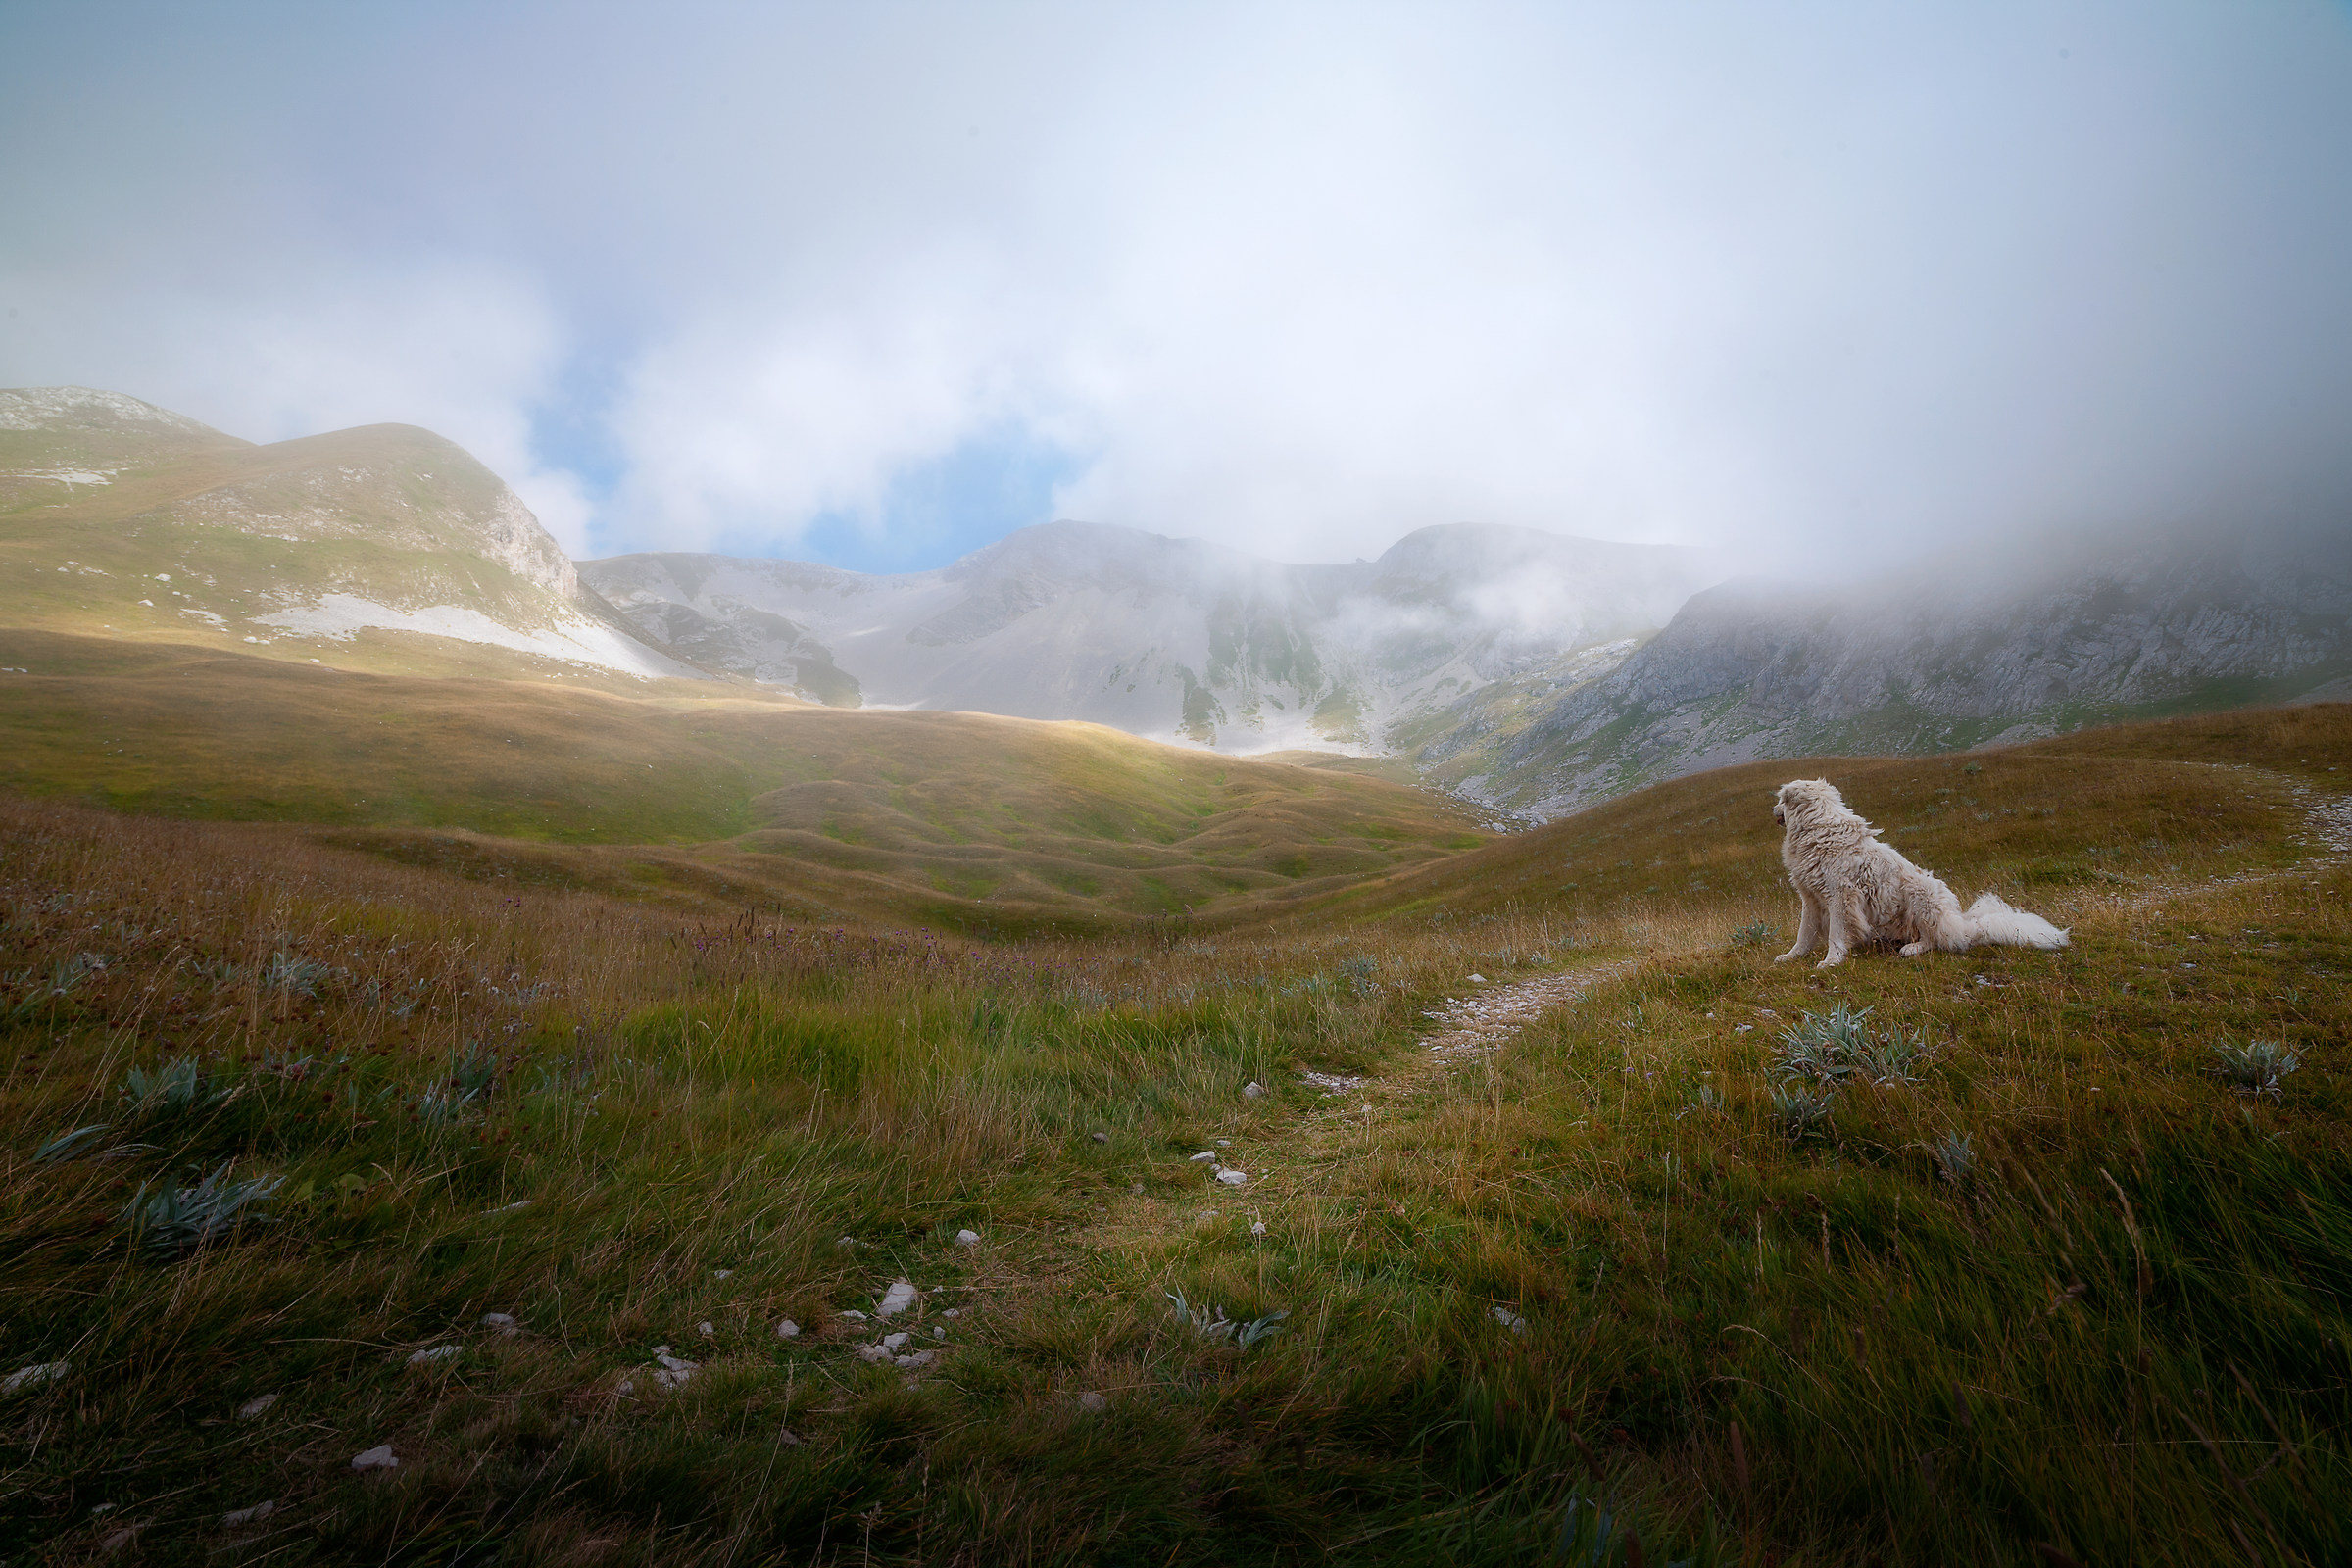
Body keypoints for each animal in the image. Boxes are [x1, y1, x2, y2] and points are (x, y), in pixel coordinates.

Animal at [1768, 775, 2070, 963]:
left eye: (1781, 800)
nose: (1772, 810)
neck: (1816, 829)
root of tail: (1963, 926)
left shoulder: (1841, 896)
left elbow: (1835, 934)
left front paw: (1831, 962)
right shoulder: (1812, 898)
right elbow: (1804, 932)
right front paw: (1792, 956)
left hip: (1920, 893)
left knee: (1935, 939)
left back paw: (1911, 949)